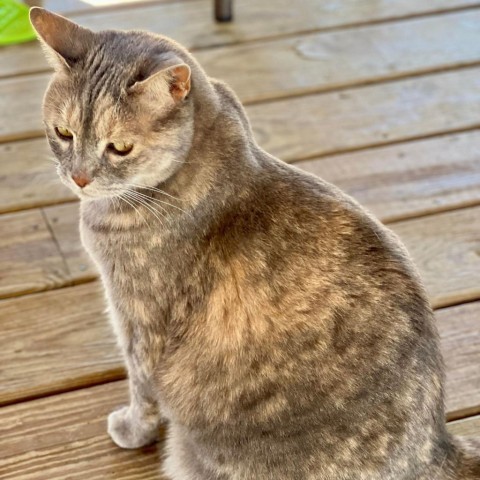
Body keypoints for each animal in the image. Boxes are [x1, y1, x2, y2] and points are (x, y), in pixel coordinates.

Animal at [31, 7, 480, 480]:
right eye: (63, 132)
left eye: (119, 147)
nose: (79, 177)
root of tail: (436, 446)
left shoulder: (140, 323)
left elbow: (142, 390)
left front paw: (131, 430)